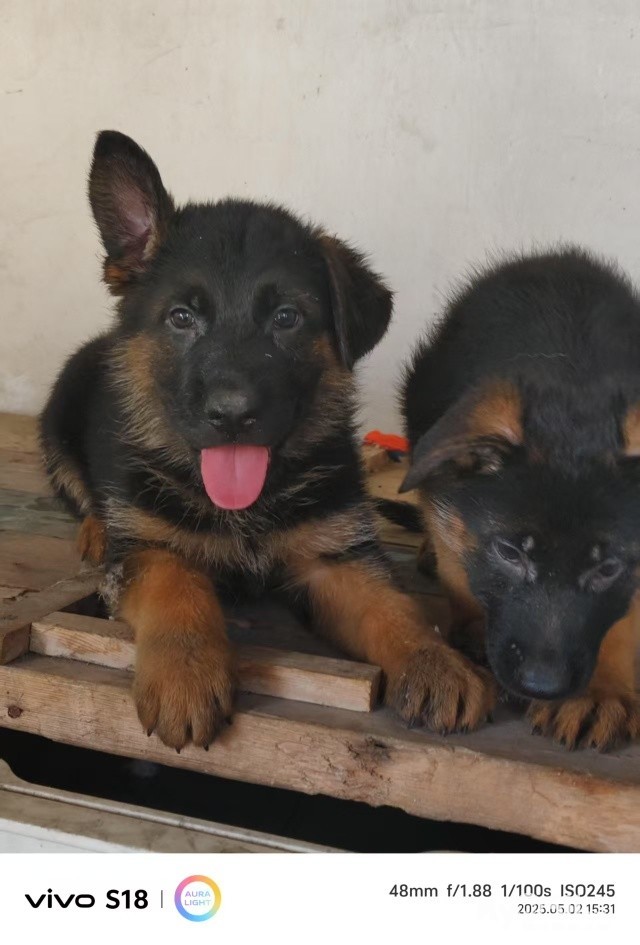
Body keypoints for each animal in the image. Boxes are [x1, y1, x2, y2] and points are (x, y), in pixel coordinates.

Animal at [39, 131, 494, 750]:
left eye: (286, 318)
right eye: (181, 317)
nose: (232, 414)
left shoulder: (336, 558)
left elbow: (393, 609)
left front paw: (435, 661)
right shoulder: (149, 549)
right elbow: (177, 586)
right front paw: (185, 671)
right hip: (59, 422)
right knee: (83, 494)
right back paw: (94, 527)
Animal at [399, 247, 640, 750]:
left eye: (607, 567)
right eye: (510, 553)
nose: (541, 686)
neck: (574, 375)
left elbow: (625, 614)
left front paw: (602, 691)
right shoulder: (447, 492)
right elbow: (460, 566)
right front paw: (473, 625)